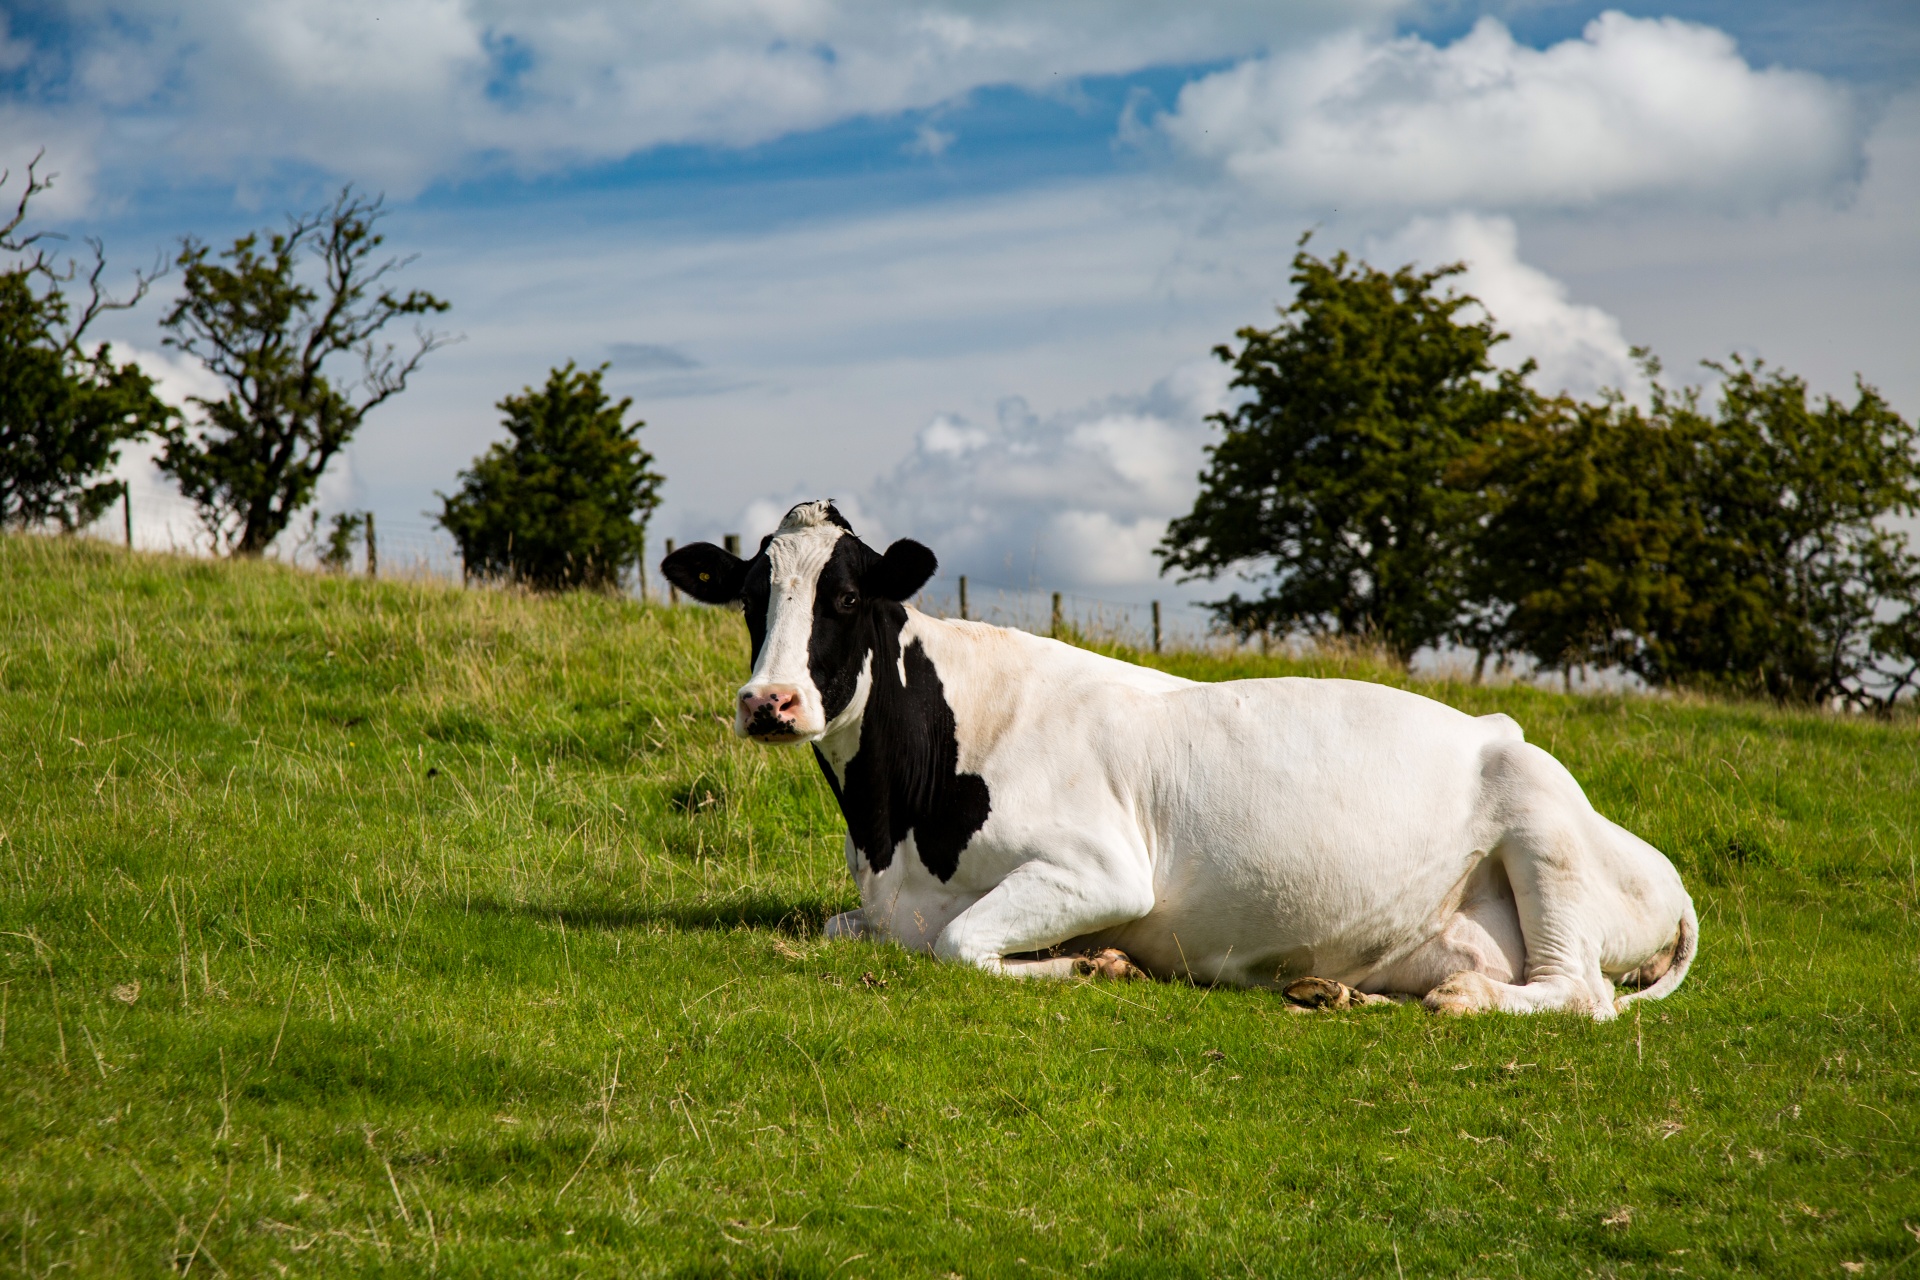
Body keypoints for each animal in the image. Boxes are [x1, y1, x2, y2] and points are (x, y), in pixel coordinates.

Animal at [660, 498, 1697, 1020]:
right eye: (751, 597)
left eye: (844, 598)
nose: (769, 703)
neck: (894, 829)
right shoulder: (878, 904)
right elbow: (847, 929)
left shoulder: (1105, 870)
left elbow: (960, 945)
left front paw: (1092, 965)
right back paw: (1333, 988)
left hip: (1542, 822)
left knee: (1580, 994)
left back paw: (1465, 1001)